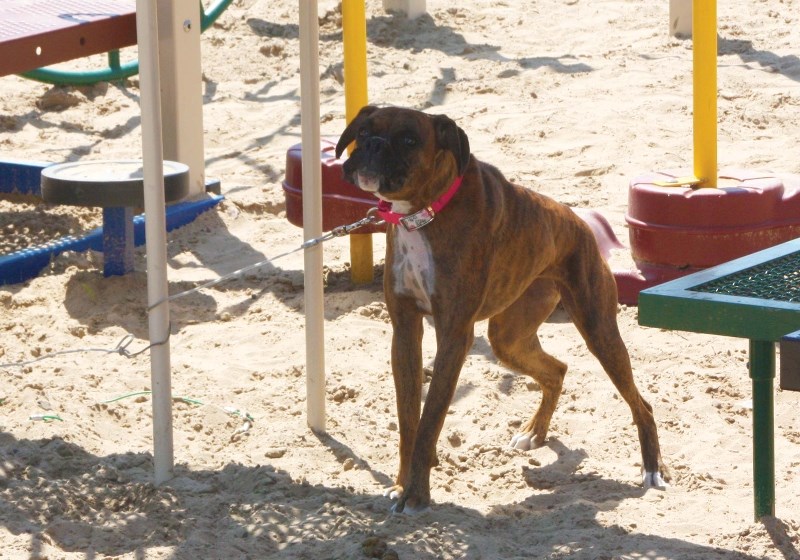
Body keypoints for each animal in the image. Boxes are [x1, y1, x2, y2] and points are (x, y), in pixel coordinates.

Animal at [334, 105, 672, 512]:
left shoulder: (454, 337)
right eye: (362, 131)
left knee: (642, 405)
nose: (372, 144)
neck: (425, 212)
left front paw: (417, 494)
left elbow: (430, 420)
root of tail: (579, 223)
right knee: (557, 370)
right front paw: (402, 485)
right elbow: (408, 420)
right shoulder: (405, 333)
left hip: (599, 333)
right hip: (509, 340)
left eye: (409, 139)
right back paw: (535, 432)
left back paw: (651, 469)